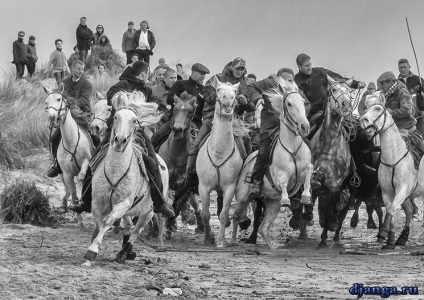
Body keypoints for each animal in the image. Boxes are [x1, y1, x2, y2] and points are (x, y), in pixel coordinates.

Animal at [43, 85, 92, 221]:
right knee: (67, 189)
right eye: (46, 102)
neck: (72, 141)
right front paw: (77, 213)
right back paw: (64, 205)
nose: (52, 118)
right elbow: (73, 192)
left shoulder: (86, 161)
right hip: (60, 173)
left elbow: (81, 178)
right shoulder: (67, 173)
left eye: (59, 99)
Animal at [198, 78, 247, 247]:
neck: (219, 153)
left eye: (235, 92)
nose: (228, 101)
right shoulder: (203, 186)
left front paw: (221, 241)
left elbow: (224, 214)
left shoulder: (230, 187)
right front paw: (208, 238)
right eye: (218, 90)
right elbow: (205, 214)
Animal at [232, 77, 312, 248]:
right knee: (235, 217)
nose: (304, 126)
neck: (292, 147)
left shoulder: (302, 174)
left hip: (272, 204)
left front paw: (306, 196)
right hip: (242, 198)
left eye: (303, 102)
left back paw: (273, 245)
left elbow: (309, 170)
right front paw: (286, 200)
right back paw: (232, 240)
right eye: (289, 104)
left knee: (264, 227)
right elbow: (282, 182)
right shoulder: (280, 175)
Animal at [358, 93, 424, 248]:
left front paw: (383, 233)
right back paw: (402, 238)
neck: (393, 157)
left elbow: (392, 209)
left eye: (377, 108)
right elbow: (390, 210)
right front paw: (390, 240)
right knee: (409, 212)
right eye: (366, 109)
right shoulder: (387, 192)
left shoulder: (402, 190)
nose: (363, 120)